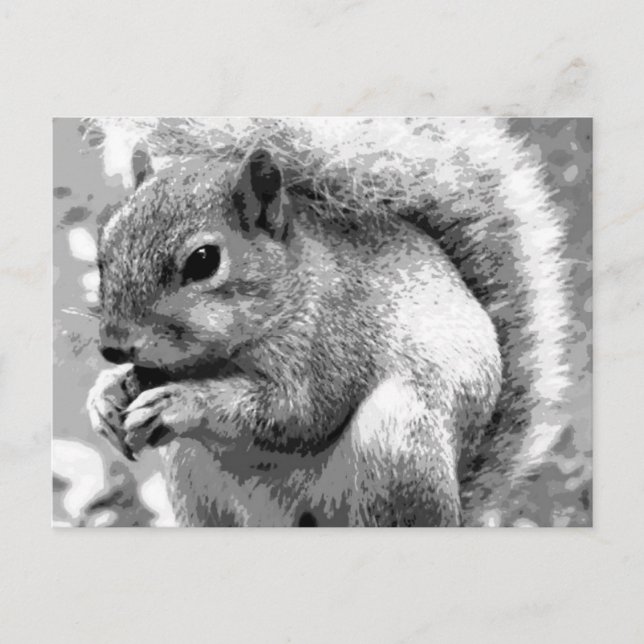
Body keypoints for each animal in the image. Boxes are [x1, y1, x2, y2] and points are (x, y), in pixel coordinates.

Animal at [85, 117, 571, 527]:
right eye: (103, 249)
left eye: (204, 260)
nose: (113, 346)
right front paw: (106, 395)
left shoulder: (335, 342)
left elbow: (298, 413)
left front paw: (182, 402)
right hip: (191, 474)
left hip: (395, 446)